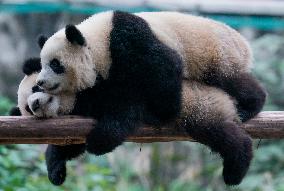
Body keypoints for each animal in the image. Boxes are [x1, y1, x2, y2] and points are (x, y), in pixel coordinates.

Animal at [13, 57, 253, 186]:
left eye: (35, 87)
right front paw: (56, 171)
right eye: (27, 110)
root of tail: (224, 98)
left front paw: (100, 141)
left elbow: (125, 110)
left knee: (222, 135)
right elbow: (71, 144)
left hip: (201, 107)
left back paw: (235, 168)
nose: (35, 105)